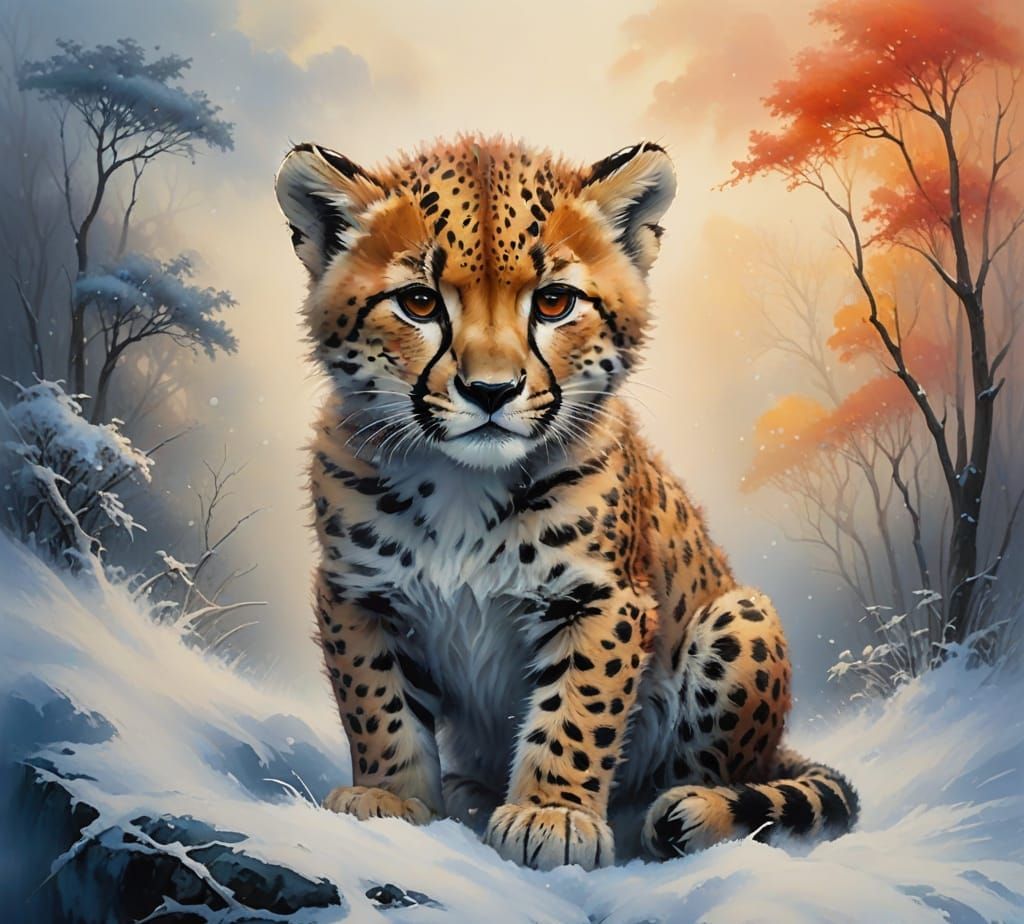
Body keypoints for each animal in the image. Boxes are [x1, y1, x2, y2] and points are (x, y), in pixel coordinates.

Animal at [274, 135, 859, 870]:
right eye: (419, 302)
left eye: (553, 303)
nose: (491, 391)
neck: (464, 486)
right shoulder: (358, 593)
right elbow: (378, 702)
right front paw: (390, 798)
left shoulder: (602, 597)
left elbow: (580, 711)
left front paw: (552, 815)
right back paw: (471, 792)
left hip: (743, 617)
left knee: (714, 775)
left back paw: (671, 814)